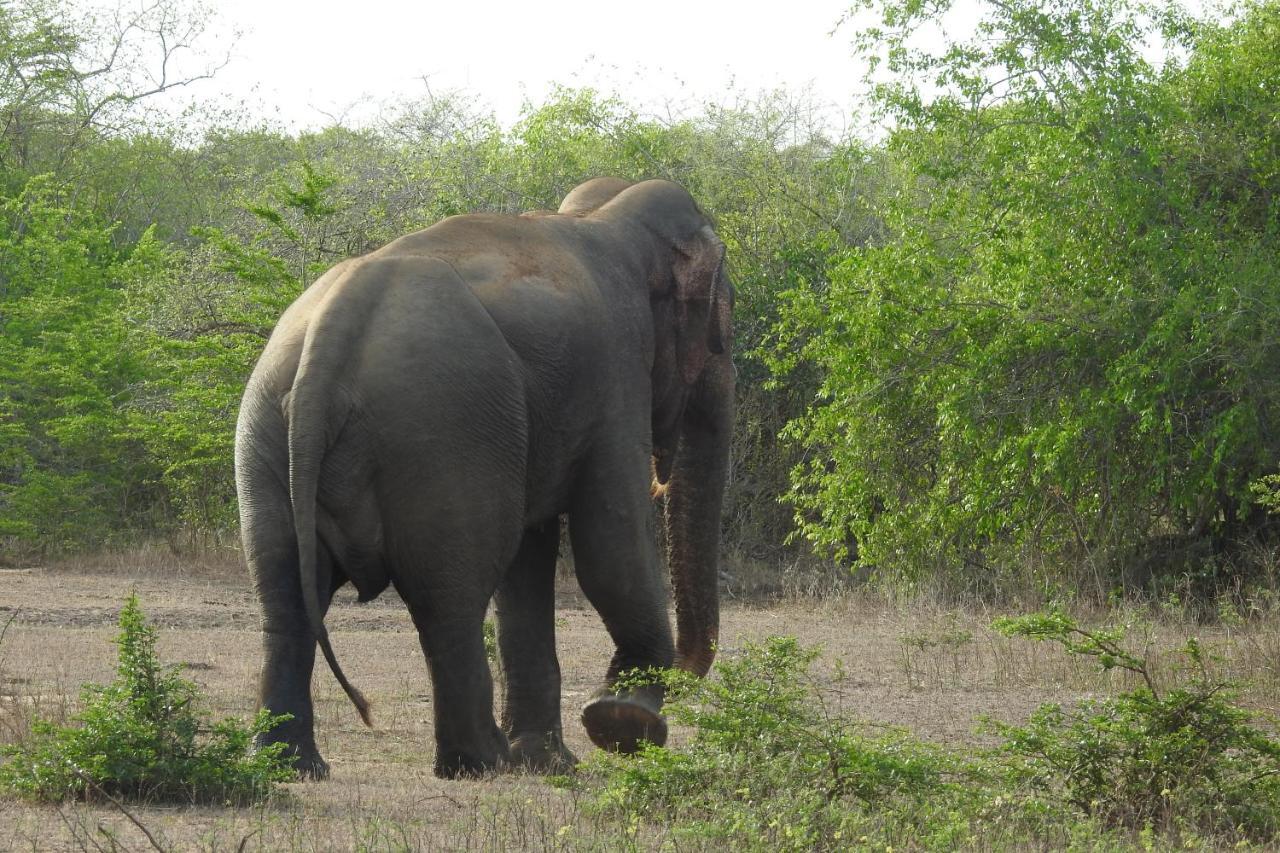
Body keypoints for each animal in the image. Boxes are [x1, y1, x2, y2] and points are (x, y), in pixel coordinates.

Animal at [235, 175, 737, 773]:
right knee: (450, 596)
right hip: (443, 435)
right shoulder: (616, 373)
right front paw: (622, 723)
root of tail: (328, 342)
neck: (606, 215)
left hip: (267, 428)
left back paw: (293, 766)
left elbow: (529, 557)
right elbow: (609, 544)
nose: (682, 677)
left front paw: (550, 763)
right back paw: (481, 762)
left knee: (285, 596)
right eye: (725, 330)